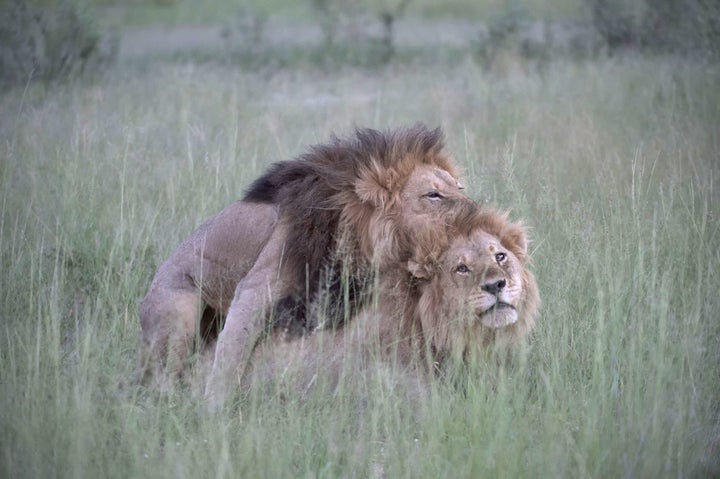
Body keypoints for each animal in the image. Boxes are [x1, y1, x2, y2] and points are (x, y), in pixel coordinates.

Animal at [138, 124, 476, 402]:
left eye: (459, 188)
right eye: (433, 195)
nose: (475, 210)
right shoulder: (257, 287)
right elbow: (231, 353)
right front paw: (213, 411)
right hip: (178, 314)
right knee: (163, 373)